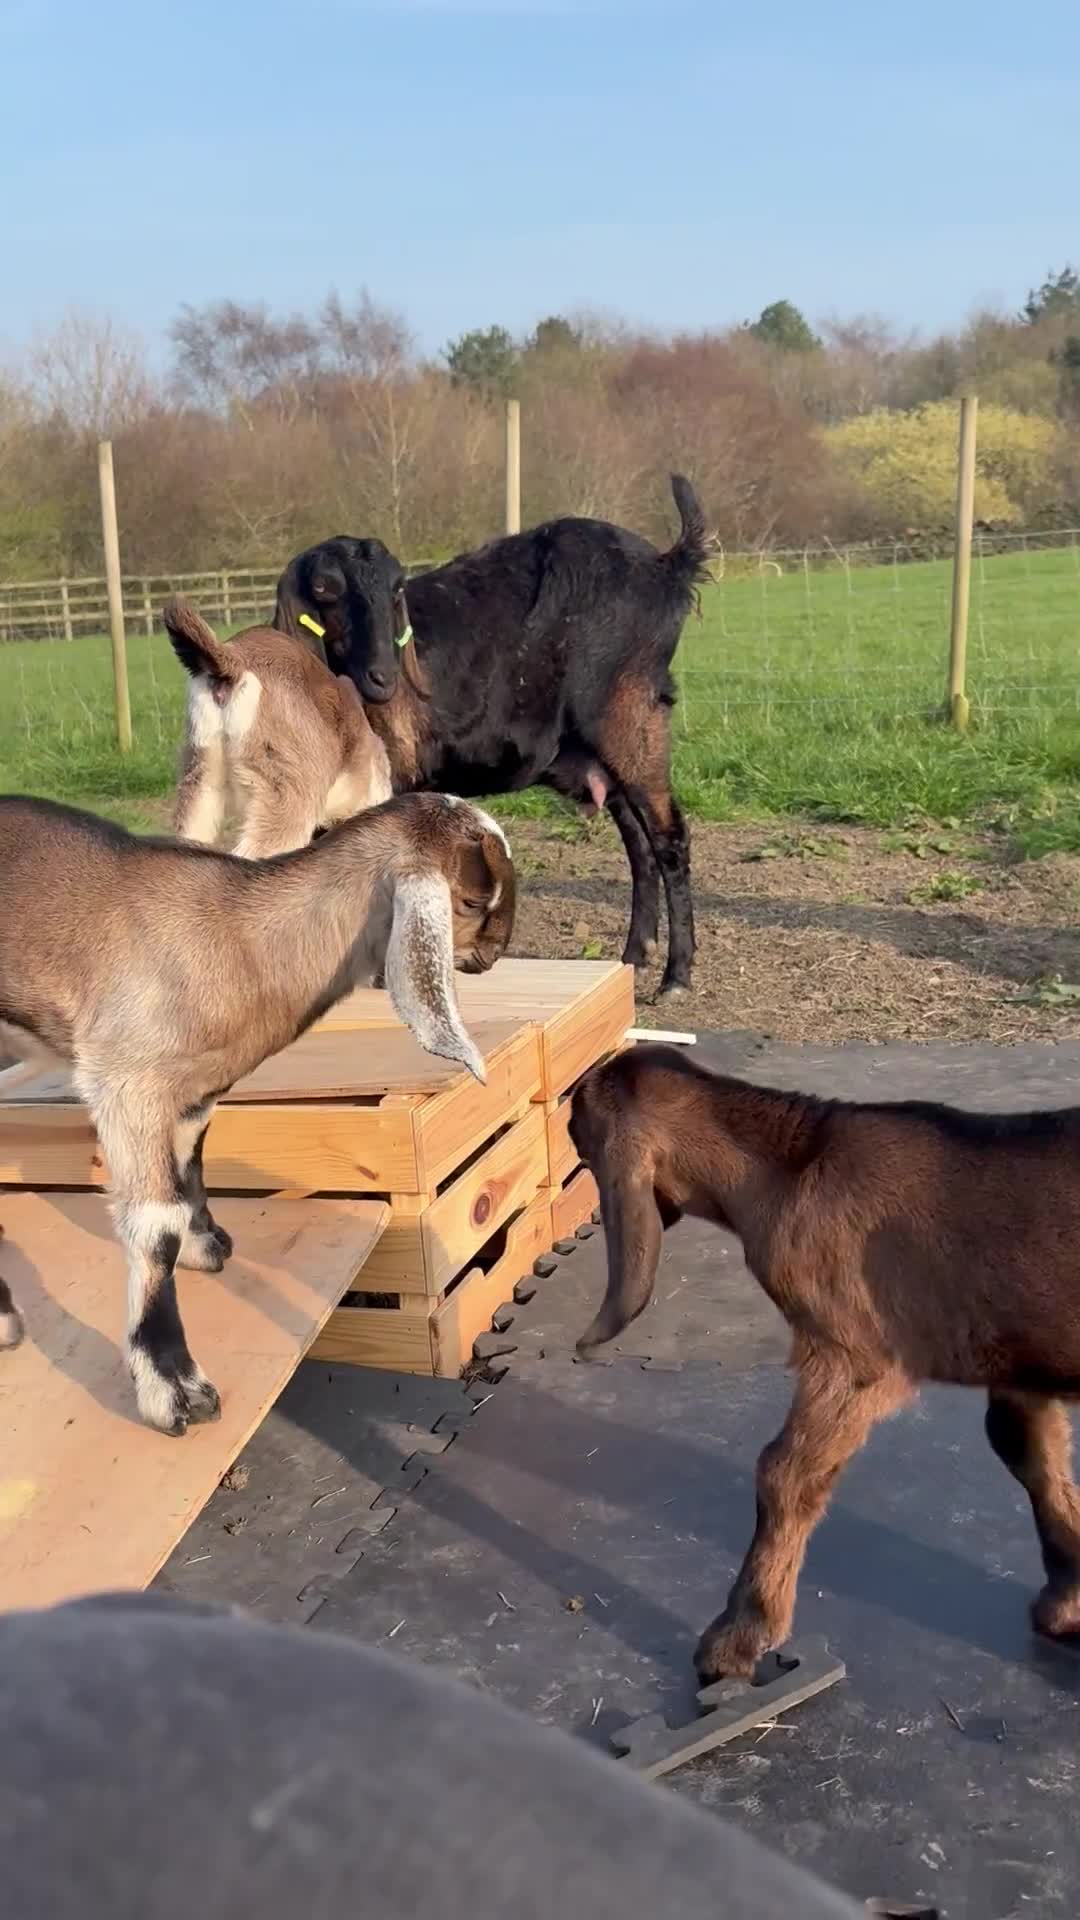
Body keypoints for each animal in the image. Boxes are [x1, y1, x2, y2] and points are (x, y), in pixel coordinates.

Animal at [0, 792, 514, 1433]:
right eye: (470, 900)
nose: (495, 952)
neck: (237, 934)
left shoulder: (194, 1090)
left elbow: (191, 1166)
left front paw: (204, 1246)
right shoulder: (125, 1082)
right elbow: (155, 1225)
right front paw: (173, 1388)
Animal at [272, 476, 710, 996]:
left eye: (396, 588)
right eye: (325, 588)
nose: (382, 677)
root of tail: (667, 566)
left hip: (632, 717)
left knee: (668, 838)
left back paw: (676, 975)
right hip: (603, 750)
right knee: (638, 844)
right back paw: (635, 957)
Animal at [571, 1043, 1080, 1680]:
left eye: (579, 1127)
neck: (789, 1162)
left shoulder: (854, 1357)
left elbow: (783, 1474)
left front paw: (737, 1639)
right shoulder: (1018, 1363)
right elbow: (1032, 1454)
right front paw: (1066, 1602)